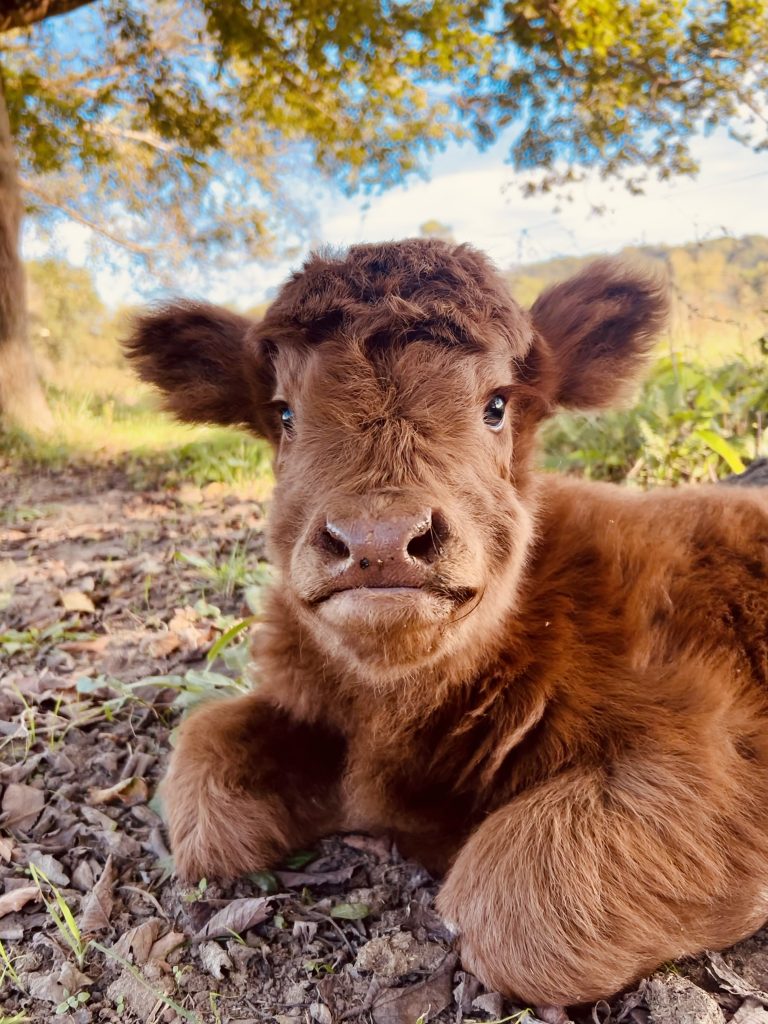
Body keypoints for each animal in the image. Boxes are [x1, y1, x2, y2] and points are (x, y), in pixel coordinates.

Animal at [127, 238, 768, 1007]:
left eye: (496, 406)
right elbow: (204, 772)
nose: (378, 539)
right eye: (283, 414)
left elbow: (510, 902)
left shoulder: (712, 750)